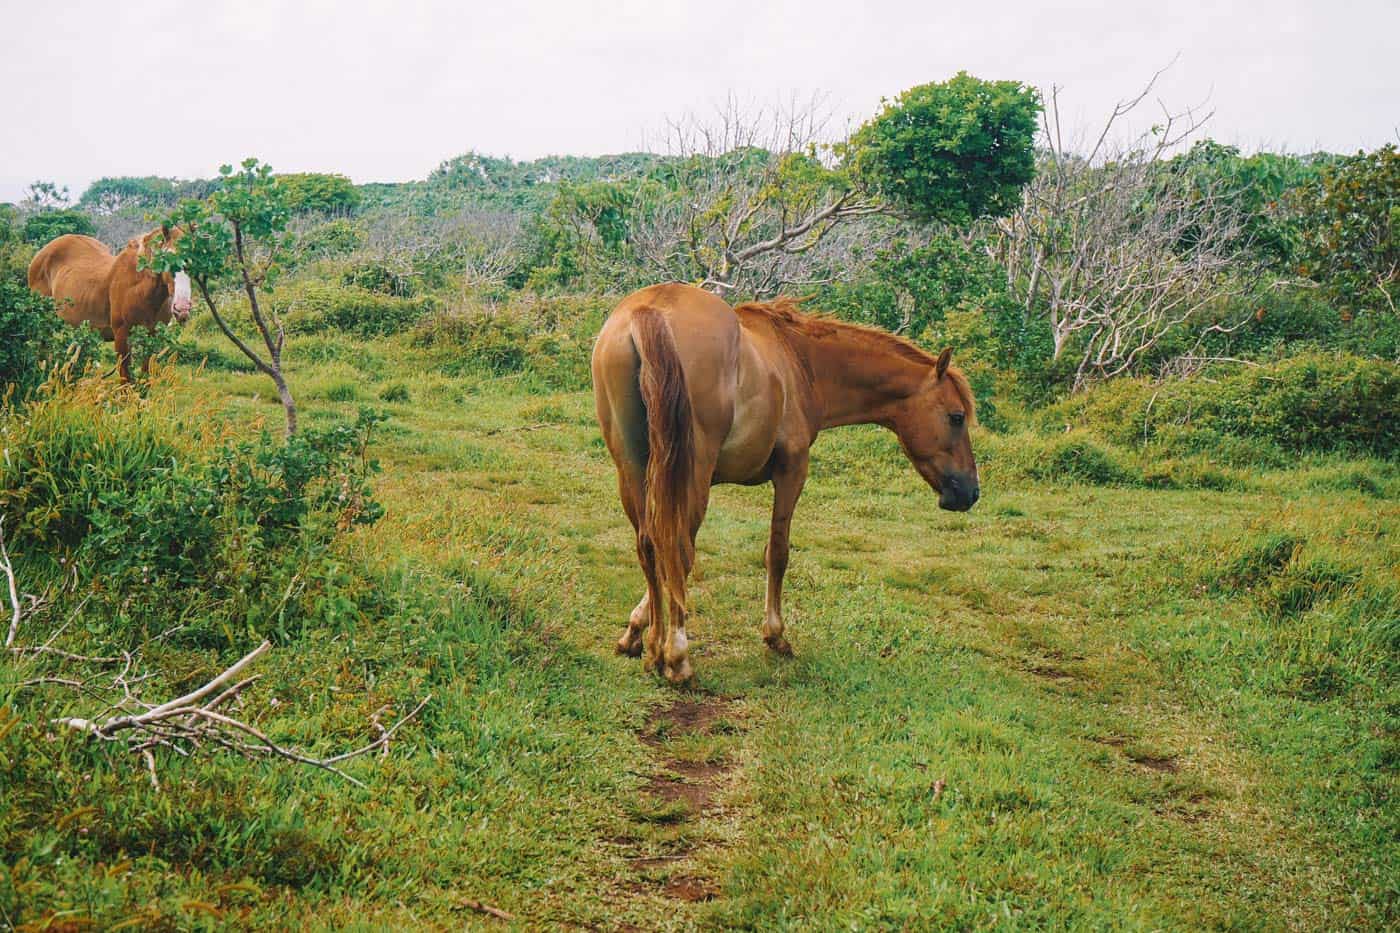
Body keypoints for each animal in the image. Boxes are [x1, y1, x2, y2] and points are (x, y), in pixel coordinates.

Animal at [28, 225, 193, 381]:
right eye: (167, 258)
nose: (182, 309)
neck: (141, 290)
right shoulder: (121, 335)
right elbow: (126, 380)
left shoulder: (152, 338)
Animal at [588, 280, 974, 680]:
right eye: (957, 417)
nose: (969, 491)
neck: (799, 361)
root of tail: (651, 309)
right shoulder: (792, 469)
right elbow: (776, 552)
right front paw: (775, 635)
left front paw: (635, 630)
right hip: (690, 472)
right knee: (675, 546)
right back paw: (677, 657)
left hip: (634, 468)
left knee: (650, 544)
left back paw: (653, 650)